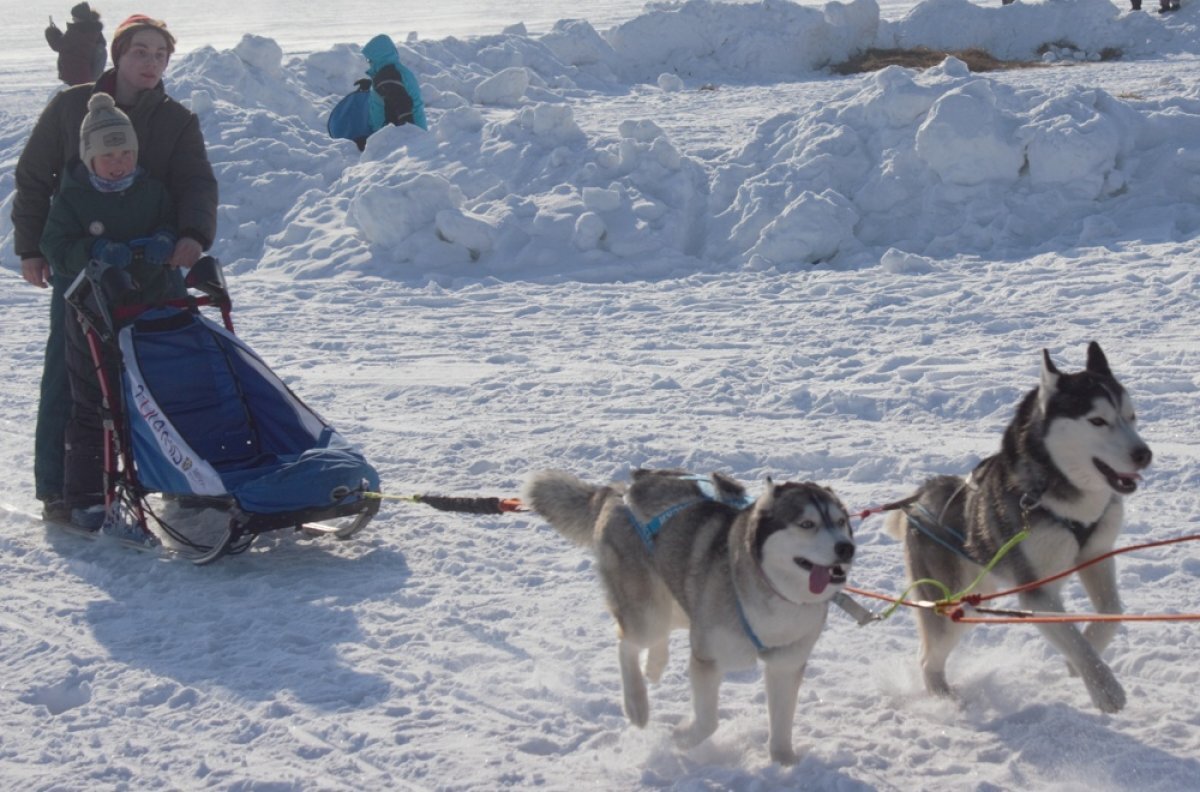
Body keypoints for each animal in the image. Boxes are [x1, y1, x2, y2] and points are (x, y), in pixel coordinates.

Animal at [525, 468, 854, 763]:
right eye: (807, 523)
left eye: (841, 522)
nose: (847, 547)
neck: (773, 592)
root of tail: (621, 490)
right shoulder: (707, 659)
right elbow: (708, 722)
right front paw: (682, 738)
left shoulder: (786, 663)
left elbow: (783, 719)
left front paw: (784, 759)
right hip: (648, 613)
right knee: (627, 642)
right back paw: (636, 704)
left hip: (680, 598)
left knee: (662, 632)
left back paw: (655, 665)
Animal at [883, 340, 1152, 710]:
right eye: (1097, 420)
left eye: (1131, 416)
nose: (1144, 454)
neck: (1064, 501)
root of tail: (921, 496)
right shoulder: (1037, 592)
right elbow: (1073, 638)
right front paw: (1104, 686)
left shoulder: (1095, 555)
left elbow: (1111, 613)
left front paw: (1077, 664)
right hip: (951, 603)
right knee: (928, 658)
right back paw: (943, 697)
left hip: (977, 596)